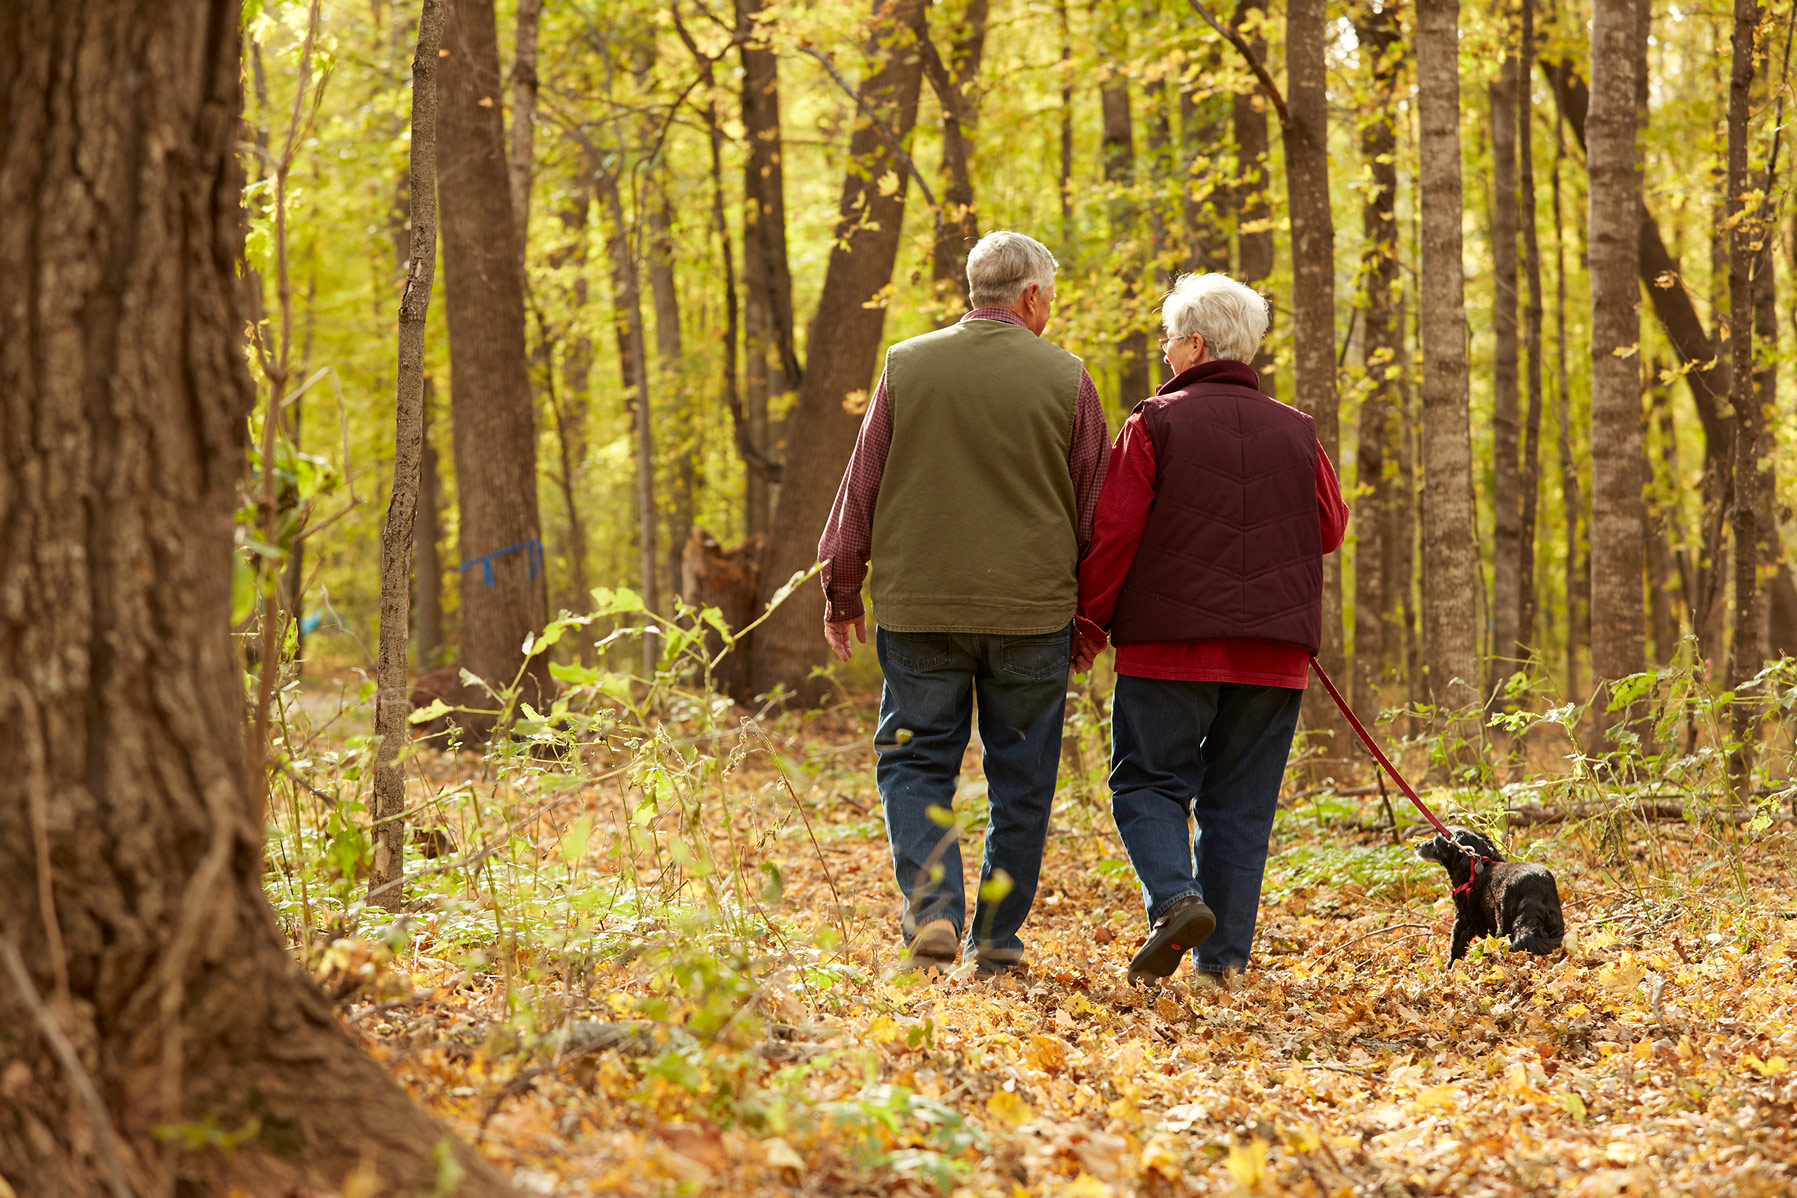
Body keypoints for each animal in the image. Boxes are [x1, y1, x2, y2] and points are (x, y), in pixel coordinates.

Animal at [1408, 829, 1566, 962]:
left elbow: (1455, 946)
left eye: (1435, 841)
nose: (1416, 845)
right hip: (1555, 923)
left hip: (1503, 927)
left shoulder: (1463, 921)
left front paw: (1449, 967)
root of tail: (1532, 890)